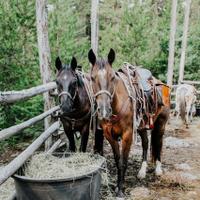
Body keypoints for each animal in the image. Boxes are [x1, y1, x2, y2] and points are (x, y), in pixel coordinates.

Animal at [88, 48, 170, 197]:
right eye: (92, 78)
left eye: (112, 77)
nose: (104, 110)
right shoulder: (109, 135)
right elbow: (117, 160)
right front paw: (117, 187)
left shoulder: (127, 135)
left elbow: (123, 162)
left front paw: (120, 190)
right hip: (142, 126)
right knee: (146, 143)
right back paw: (142, 171)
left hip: (161, 124)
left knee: (159, 143)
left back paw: (158, 169)